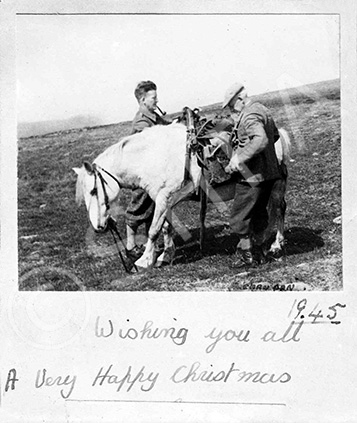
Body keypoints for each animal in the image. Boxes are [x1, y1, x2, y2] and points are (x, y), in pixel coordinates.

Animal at [73, 121, 290, 270]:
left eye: (93, 191)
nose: (99, 226)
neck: (152, 156)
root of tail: (278, 133)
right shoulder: (165, 200)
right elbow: (166, 227)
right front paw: (165, 256)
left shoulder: (163, 198)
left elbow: (153, 230)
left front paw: (145, 260)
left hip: (276, 186)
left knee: (279, 210)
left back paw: (276, 245)